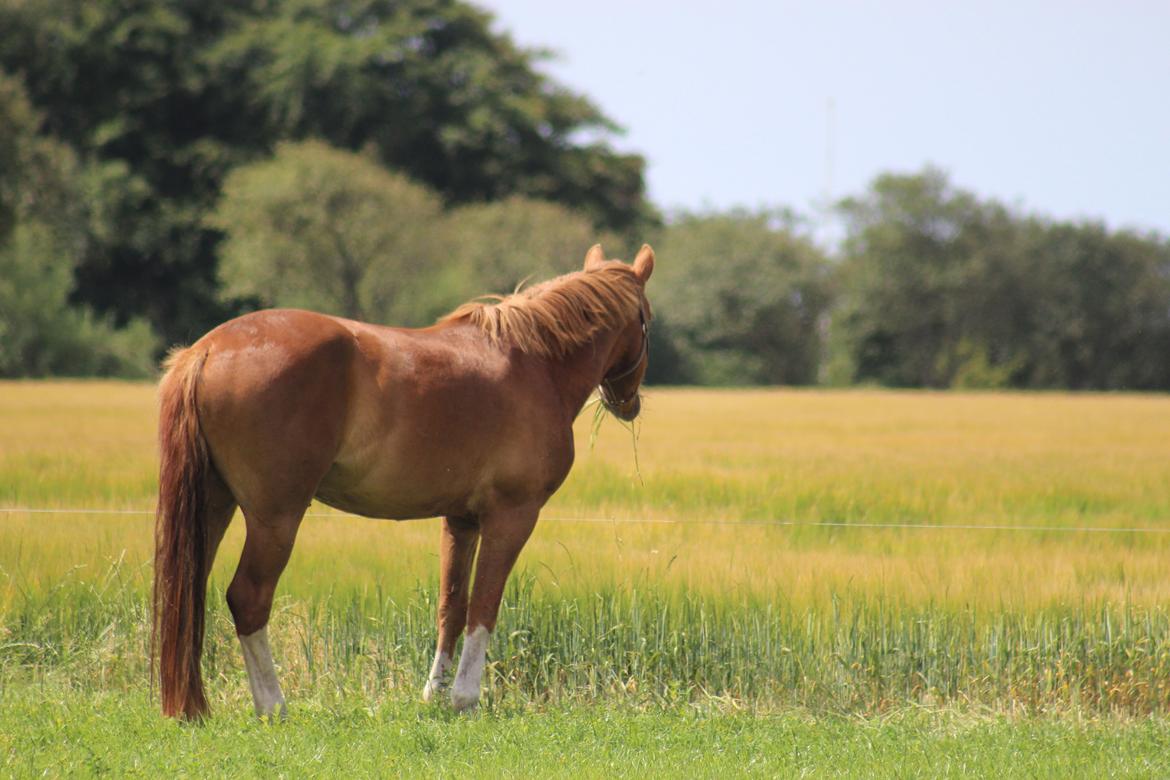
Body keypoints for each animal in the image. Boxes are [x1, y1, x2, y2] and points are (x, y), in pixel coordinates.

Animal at [150, 244, 655, 720]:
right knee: (248, 598)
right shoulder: (512, 516)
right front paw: (465, 698)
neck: (535, 363)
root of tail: (208, 350)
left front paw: (435, 694)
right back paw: (273, 705)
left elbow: (452, 606)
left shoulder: (461, 520)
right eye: (647, 322)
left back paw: (193, 707)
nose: (628, 403)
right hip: (275, 517)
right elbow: (485, 606)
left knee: (190, 590)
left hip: (214, 505)